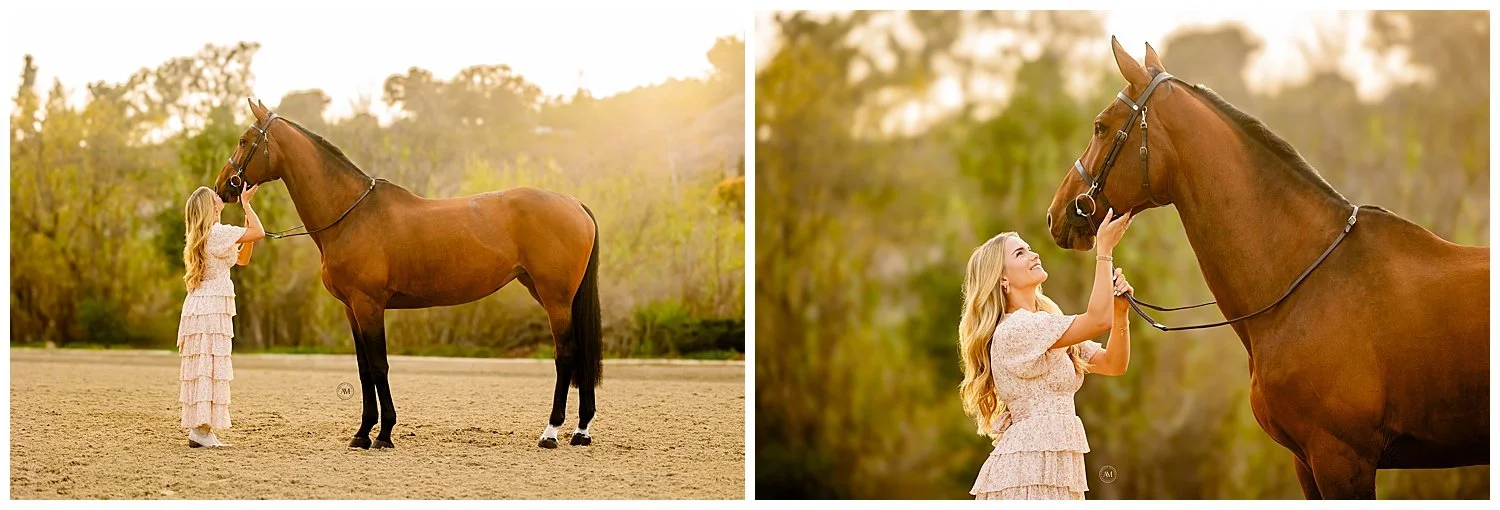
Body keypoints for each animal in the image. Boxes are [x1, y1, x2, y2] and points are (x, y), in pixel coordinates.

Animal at [212, 99, 603, 450]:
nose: (222, 186)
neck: (352, 214)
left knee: (566, 353)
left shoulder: (369, 305)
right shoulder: (351, 309)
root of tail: (574, 204)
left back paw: (551, 433)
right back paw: (580, 431)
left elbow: (379, 365)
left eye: (245, 140)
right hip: (549, 293)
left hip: (554, 297)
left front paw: (384, 434)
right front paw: (362, 433)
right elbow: (363, 369)